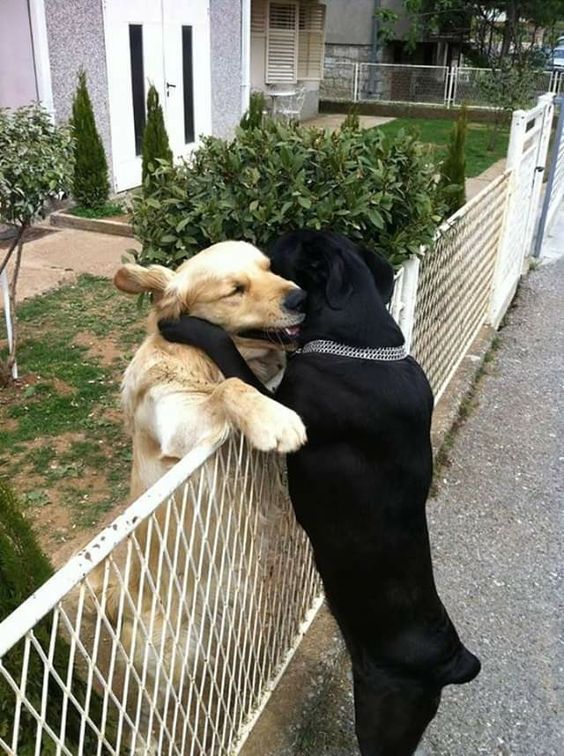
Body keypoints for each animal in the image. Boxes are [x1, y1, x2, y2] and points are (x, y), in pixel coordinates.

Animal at [88, 239, 306, 748]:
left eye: (269, 268)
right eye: (235, 289)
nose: (300, 297)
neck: (194, 355)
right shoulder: (177, 422)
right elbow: (232, 386)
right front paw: (273, 419)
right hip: (166, 654)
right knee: (150, 710)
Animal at [160, 230, 480, 756]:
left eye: (275, 256)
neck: (360, 345)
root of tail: (452, 659)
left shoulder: (284, 406)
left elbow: (229, 355)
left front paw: (184, 324)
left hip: (386, 713)